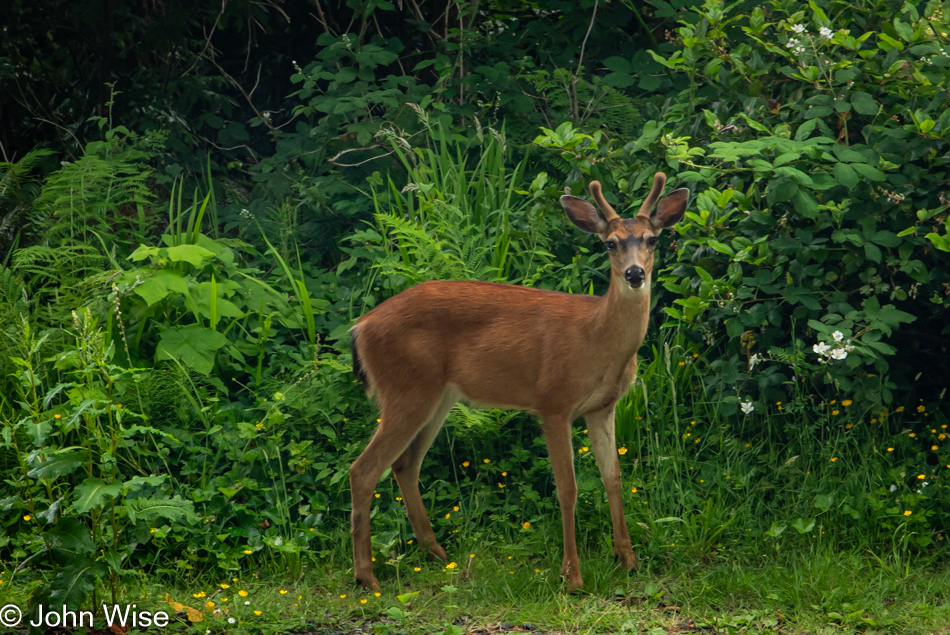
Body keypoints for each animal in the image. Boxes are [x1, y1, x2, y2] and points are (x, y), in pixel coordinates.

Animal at [346, 173, 688, 592]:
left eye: (652, 239)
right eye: (610, 243)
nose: (635, 274)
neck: (595, 338)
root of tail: (360, 327)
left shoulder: (602, 407)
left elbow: (614, 478)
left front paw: (629, 560)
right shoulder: (553, 402)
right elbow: (568, 488)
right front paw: (572, 575)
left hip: (437, 397)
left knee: (405, 464)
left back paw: (437, 553)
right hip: (405, 390)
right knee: (363, 470)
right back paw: (368, 577)